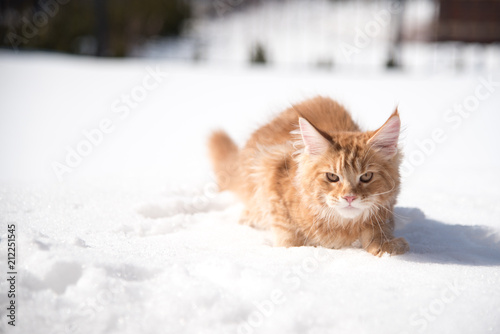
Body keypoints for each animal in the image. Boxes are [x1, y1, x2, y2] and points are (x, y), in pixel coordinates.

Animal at [209, 96, 408, 256]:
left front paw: (385, 247)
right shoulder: (272, 168)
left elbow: (378, 232)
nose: (349, 197)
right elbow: (288, 235)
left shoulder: (385, 212)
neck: (341, 226)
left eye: (366, 176)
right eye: (332, 177)